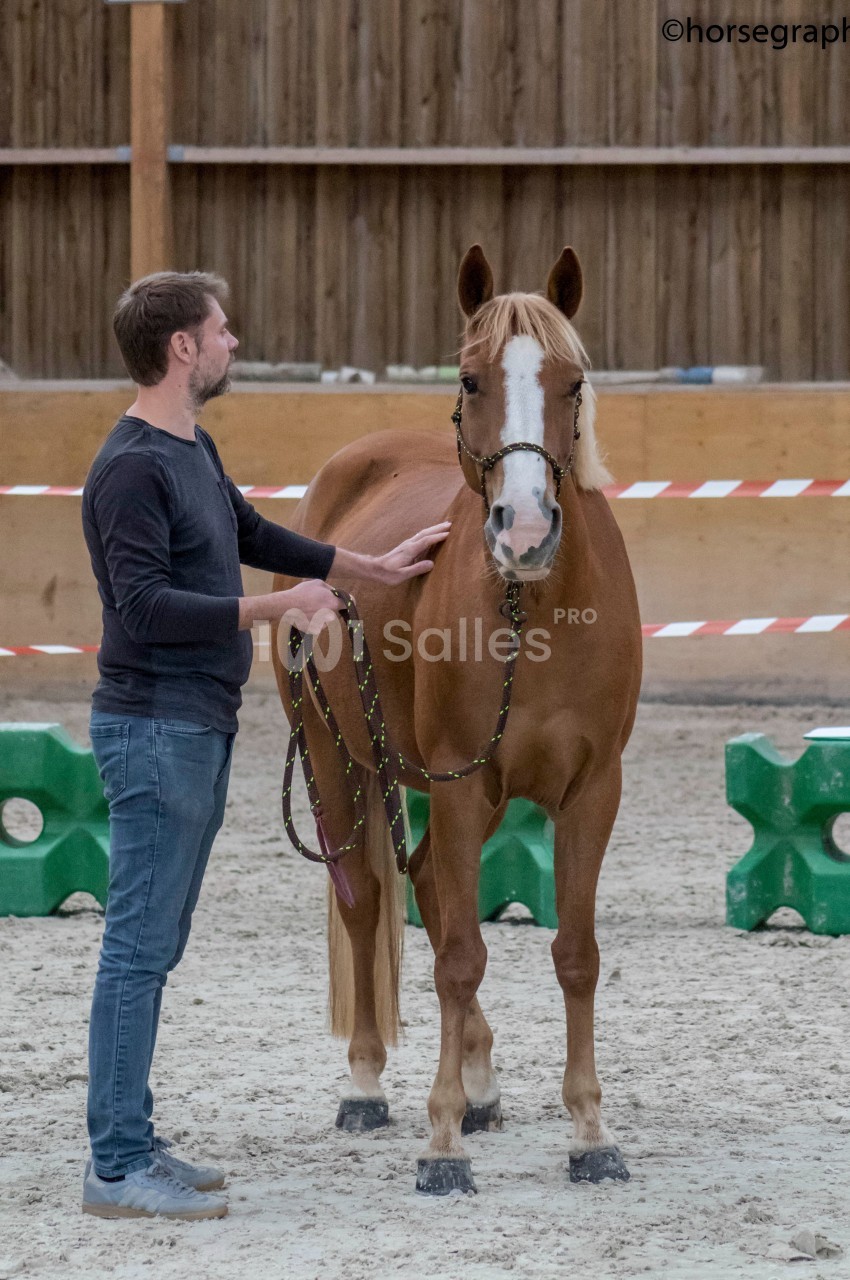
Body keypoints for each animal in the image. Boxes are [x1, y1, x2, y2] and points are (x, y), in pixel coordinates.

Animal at [271, 243, 642, 1195]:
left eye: (573, 382)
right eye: (471, 380)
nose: (525, 529)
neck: (535, 608)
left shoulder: (591, 791)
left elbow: (574, 954)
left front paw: (590, 1132)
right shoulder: (464, 783)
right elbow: (460, 956)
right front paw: (441, 1144)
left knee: (429, 885)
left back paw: (479, 1083)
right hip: (335, 757)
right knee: (372, 901)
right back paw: (368, 1085)